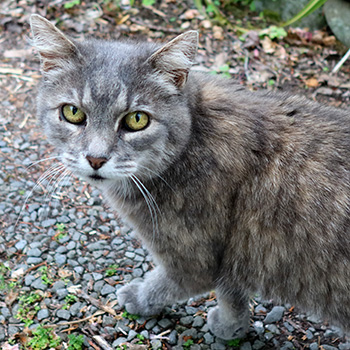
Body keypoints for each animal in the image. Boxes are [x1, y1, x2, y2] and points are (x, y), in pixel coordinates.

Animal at [30, 15, 350, 340]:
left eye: (137, 119)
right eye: (72, 113)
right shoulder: (230, 257)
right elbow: (232, 292)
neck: (194, 137)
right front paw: (233, 328)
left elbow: (166, 285)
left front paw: (139, 299)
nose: (96, 158)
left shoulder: (191, 260)